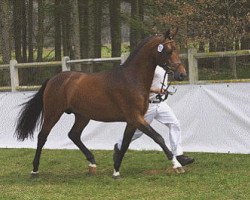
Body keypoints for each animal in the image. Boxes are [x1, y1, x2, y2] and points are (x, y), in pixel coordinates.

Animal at [15, 28, 186, 177]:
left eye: (176, 49)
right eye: (168, 50)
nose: (182, 74)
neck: (132, 79)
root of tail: (53, 79)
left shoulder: (133, 121)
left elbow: (125, 144)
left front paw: (116, 170)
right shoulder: (135, 118)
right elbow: (158, 137)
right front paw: (177, 165)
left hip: (82, 116)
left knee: (73, 135)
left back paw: (92, 163)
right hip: (53, 113)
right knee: (42, 136)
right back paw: (35, 170)